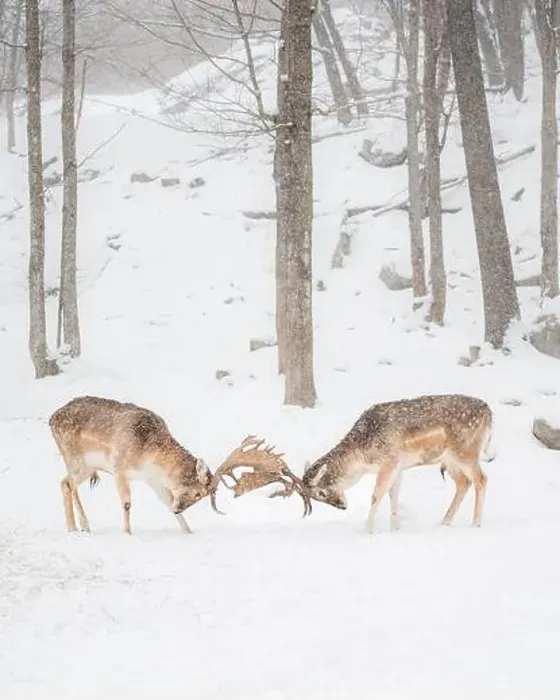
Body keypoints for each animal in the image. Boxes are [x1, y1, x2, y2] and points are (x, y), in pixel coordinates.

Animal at [49, 395, 223, 535]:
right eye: (198, 493)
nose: (178, 509)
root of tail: (51, 419)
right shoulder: (119, 469)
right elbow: (126, 503)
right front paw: (127, 533)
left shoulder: (152, 480)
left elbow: (167, 500)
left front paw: (189, 532)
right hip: (74, 459)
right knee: (71, 485)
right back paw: (84, 526)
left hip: (88, 468)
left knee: (64, 482)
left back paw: (72, 528)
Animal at [301, 393, 493, 534]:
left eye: (321, 492)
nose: (342, 506)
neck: (362, 459)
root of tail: (490, 413)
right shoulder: (399, 466)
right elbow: (393, 494)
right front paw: (395, 529)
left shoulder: (389, 461)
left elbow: (376, 495)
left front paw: (368, 530)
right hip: (449, 459)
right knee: (464, 482)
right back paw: (444, 522)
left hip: (466, 451)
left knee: (481, 479)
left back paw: (475, 524)